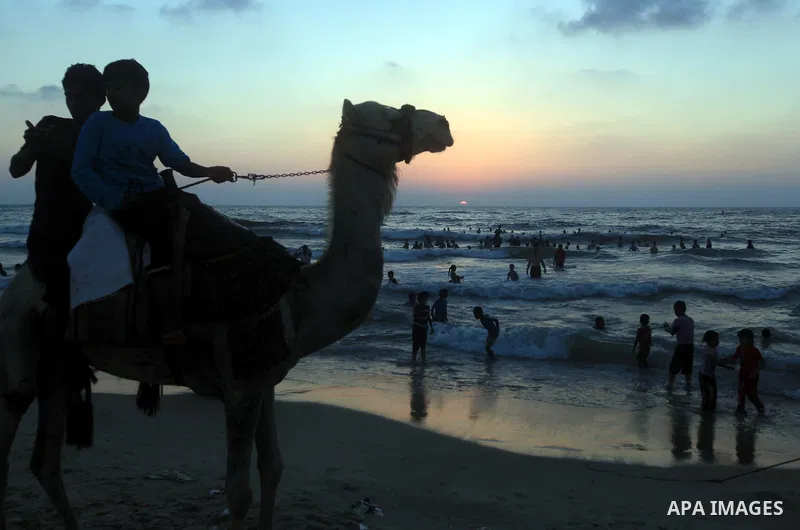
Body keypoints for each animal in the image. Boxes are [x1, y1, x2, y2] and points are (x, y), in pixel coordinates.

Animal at [0, 99, 453, 529]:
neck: (297, 298)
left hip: (59, 362)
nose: (444, 125)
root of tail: (22, 280)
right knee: (15, 420)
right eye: (388, 116)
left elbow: (273, 468)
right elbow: (238, 492)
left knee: (45, 462)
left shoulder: (264, 381)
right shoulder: (238, 387)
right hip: (22, 342)